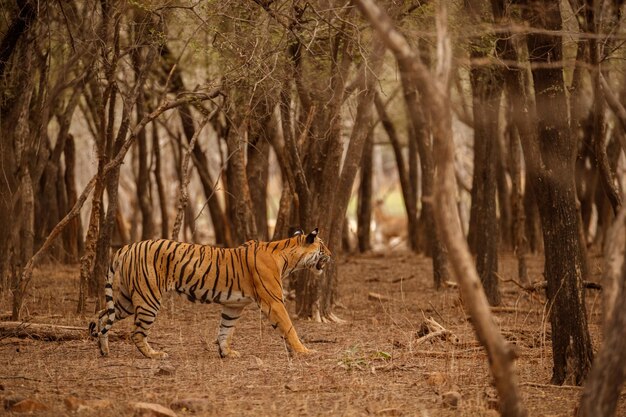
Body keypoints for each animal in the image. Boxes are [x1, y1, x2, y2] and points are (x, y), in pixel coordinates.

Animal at [90, 228, 332, 358]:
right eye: (322, 247)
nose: (331, 255)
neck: (288, 257)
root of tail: (126, 247)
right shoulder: (273, 301)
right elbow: (289, 327)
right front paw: (304, 351)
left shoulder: (233, 305)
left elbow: (226, 329)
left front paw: (226, 353)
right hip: (148, 298)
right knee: (136, 333)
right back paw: (154, 354)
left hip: (127, 300)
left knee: (101, 316)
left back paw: (103, 349)